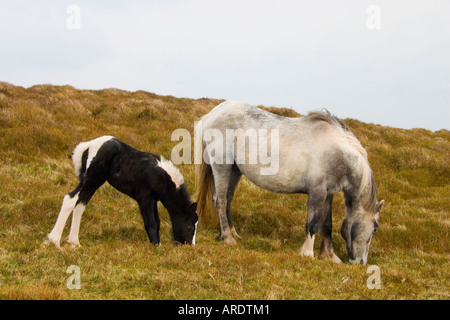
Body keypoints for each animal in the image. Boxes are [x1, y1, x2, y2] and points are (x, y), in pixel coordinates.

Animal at [47, 135, 199, 248]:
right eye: (190, 227)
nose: (189, 246)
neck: (162, 177)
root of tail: (89, 145)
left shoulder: (153, 200)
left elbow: (157, 222)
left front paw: (157, 244)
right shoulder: (145, 199)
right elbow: (151, 223)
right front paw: (156, 247)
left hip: (93, 182)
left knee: (80, 204)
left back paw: (74, 242)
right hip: (91, 179)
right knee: (70, 199)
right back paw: (54, 240)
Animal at [195, 101, 384, 264]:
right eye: (375, 228)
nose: (361, 262)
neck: (337, 150)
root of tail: (210, 115)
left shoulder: (328, 194)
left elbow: (327, 225)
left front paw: (330, 256)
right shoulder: (317, 192)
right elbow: (313, 223)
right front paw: (307, 253)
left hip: (235, 170)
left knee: (227, 198)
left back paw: (233, 233)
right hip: (222, 167)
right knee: (220, 200)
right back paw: (228, 238)